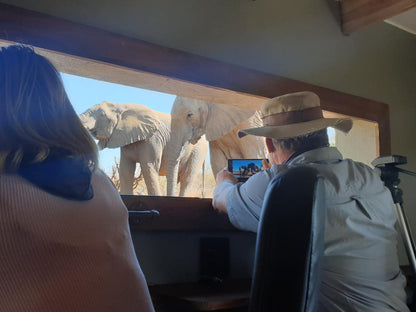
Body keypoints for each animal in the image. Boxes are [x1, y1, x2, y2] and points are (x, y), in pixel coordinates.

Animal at [78, 102, 208, 195]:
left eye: (102, 115)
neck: (123, 106)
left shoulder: (152, 140)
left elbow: (148, 168)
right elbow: (126, 171)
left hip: (198, 152)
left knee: (187, 179)